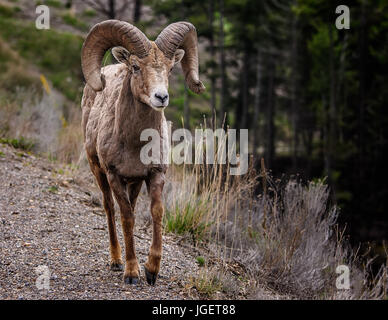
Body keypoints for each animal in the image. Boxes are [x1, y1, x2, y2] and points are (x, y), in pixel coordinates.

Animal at [80, 20, 205, 284]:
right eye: (136, 66)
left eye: (170, 68)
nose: (161, 97)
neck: (136, 144)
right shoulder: (114, 175)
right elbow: (126, 217)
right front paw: (131, 272)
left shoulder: (155, 174)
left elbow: (156, 212)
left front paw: (152, 270)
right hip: (98, 171)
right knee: (109, 208)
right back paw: (116, 261)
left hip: (134, 183)